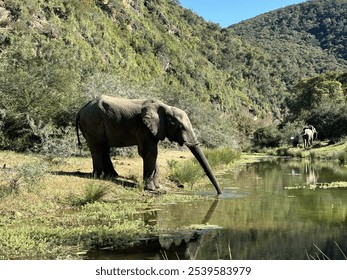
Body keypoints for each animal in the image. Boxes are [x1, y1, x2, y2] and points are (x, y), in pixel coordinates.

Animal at [76, 95, 223, 194]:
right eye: (180, 126)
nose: (220, 194)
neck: (166, 107)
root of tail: (81, 109)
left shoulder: (155, 129)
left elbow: (152, 152)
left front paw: (157, 187)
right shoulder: (143, 127)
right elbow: (149, 152)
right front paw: (151, 188)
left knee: (104, 148)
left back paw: (112, 175)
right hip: (92, 123)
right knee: (98, 148)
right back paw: (99, 176)